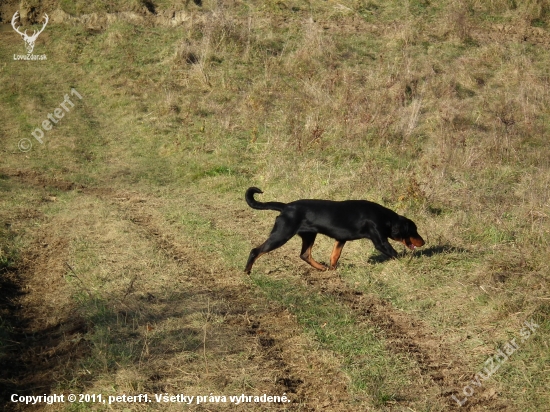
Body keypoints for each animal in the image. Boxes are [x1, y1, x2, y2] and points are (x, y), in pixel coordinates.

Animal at [246, 187, 426, 274]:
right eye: (414, 230)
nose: (424, 242)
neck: (384, 218)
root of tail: (285, 207)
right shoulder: (380, 242)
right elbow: (395, 254)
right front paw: (408, 263)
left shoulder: (340, 240)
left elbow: (334, 256)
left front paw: (333, 269)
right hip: (282, 234)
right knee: (256, 251)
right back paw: (247, 271)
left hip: (309, 235)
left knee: (305, 254)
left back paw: (321, 268)